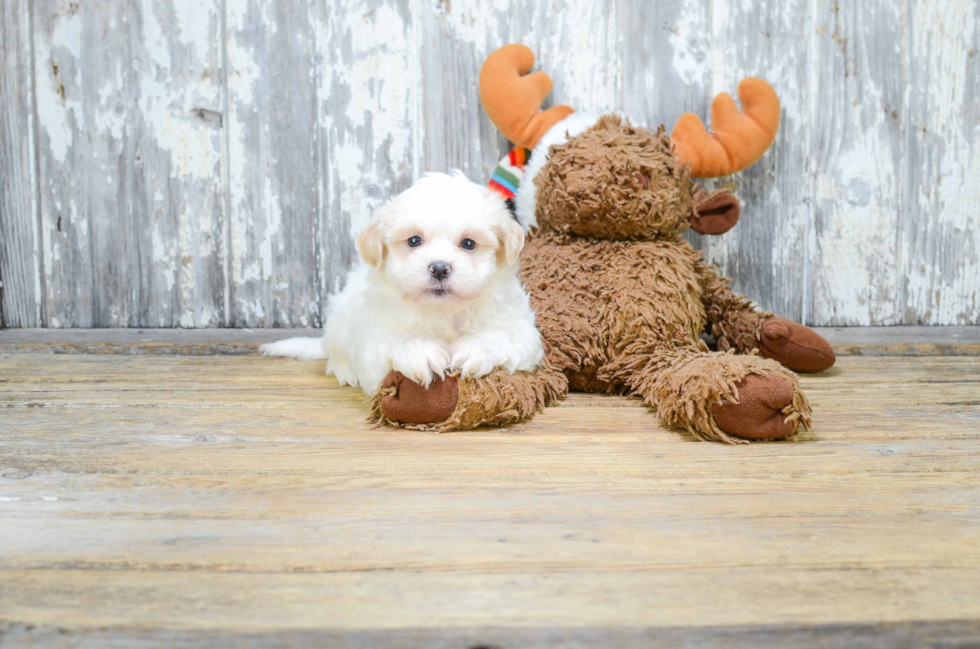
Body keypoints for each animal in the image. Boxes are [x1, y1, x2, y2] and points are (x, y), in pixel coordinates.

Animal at [258, 171, 544, 394]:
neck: (444, 313)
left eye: (468, 244)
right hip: (339, 320)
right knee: (336, 355)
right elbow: (394, 341)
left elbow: (502, 336)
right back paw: (345, 372)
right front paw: (422, 351)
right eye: (414, 241)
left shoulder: (521, 330)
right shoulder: (373, 337)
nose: (440, 268)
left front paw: (474, 349)